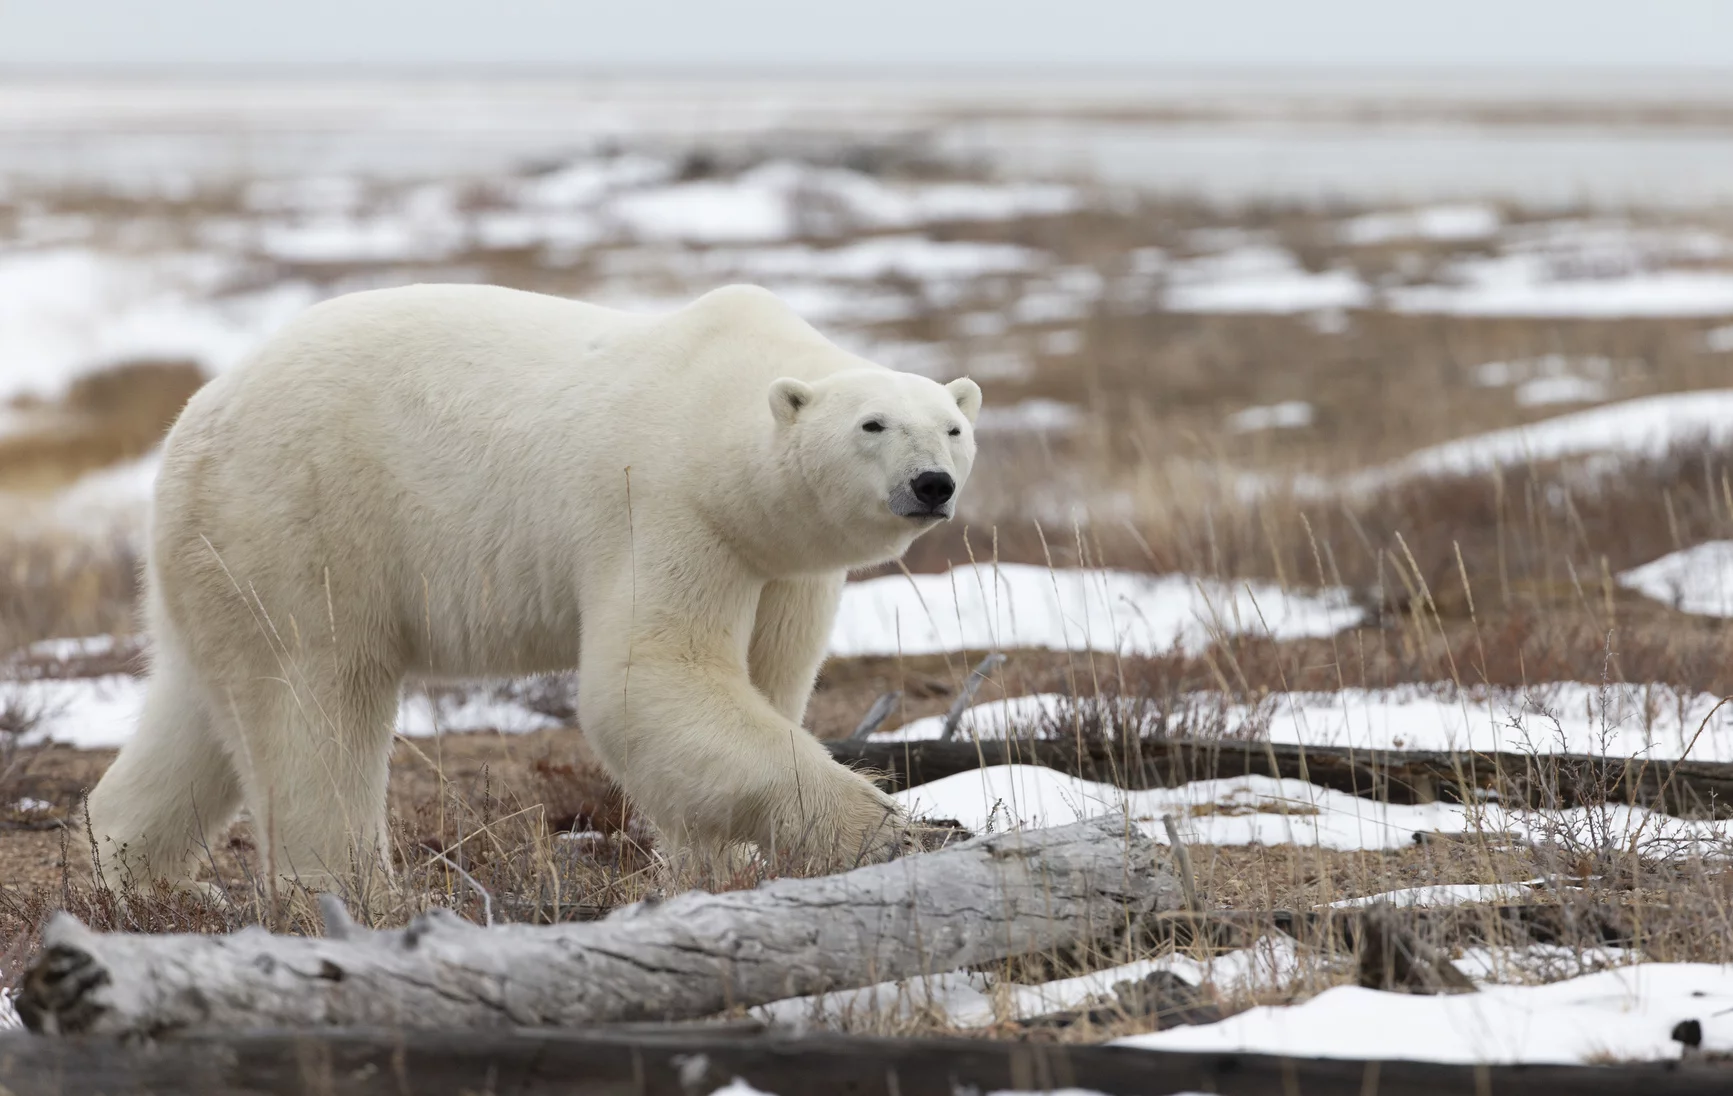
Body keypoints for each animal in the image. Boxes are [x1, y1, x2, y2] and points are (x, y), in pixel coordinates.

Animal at [84, 282, 977, 901]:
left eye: (953, 426)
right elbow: (646, 682)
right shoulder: (659, 506)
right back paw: (351, 894)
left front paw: (709, 868)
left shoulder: (780, 562)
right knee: (313, 708)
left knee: (199, 712)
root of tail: (195, 421)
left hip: (219, 560)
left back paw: (141, 875)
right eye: (871, 424)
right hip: (303, 523)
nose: (930, 484)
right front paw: (888, 828)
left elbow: (766, 681)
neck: (716, 412)